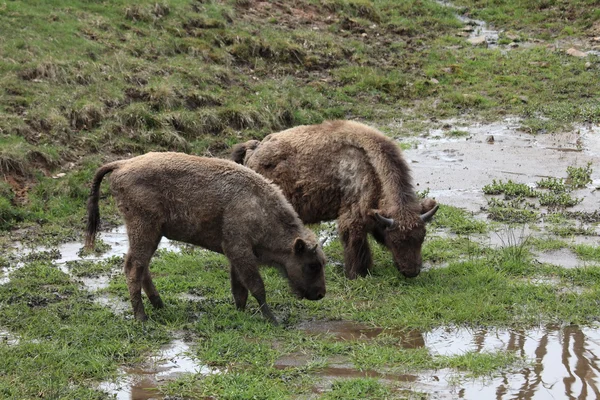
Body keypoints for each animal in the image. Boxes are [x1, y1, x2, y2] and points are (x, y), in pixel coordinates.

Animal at [85, 152, 324, 324]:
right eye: (312, 265)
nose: (321, 294)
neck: (260, 208)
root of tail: (121, 164)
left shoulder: (235, 254)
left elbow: (239, 289)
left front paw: (241, 312)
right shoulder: (239, 250)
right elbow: (256, 286)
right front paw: (274, 320)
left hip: (150, 235)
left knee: (142, 267)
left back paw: (160, 305)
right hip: (144, 230)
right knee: (134, 268)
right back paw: (142, 318)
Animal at [232, 120, 438, 280]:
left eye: (422, 237)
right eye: (395, 240)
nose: (411, 272)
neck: (371, 166)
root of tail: (254, 149)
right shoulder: (353, 216)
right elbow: (356, 244)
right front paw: (358, 273)